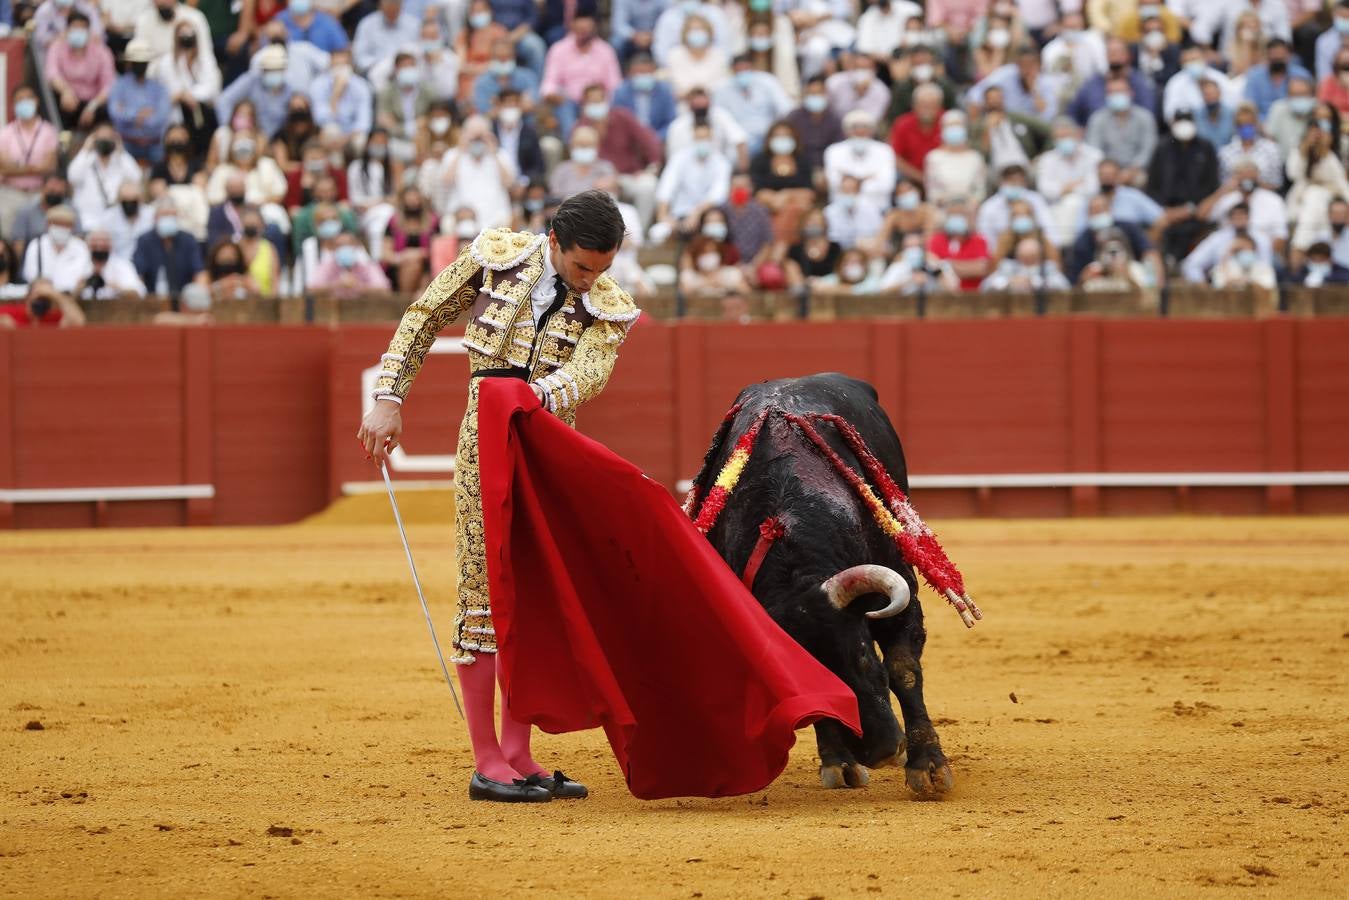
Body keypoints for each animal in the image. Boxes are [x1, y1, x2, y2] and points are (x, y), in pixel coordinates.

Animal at [685, 377, 982, 798]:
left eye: (863, 657)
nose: (880, 751)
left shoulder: (902, 595)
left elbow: (904, 669)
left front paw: (928, 766)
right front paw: (839, 763)